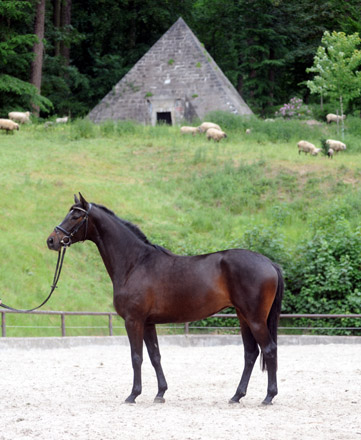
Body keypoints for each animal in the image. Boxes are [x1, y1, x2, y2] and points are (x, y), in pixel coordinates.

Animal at [47, 195, 282, 406]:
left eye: (75, 216)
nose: (51, 240)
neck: (135, 263)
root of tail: (269, 262)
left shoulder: (133, 320)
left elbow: (136, 357)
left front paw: (133, 395)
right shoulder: (148, 323)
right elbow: (155, 356)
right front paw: (160, 393)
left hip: (255, 319)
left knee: (269, 349)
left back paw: (268, 397)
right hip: (243, 317)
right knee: (251, 353)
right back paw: (236, 396)